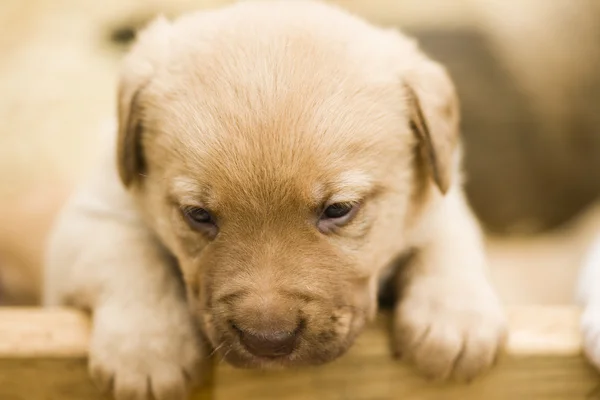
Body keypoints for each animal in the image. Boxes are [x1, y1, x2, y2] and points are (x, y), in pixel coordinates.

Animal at [43, 1, 506, 398]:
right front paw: (147, 351)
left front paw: (455, 321)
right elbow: (130, 256)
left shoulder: (440, 201)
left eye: (338, 210)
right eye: (198, 215)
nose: (268, 341)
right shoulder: (89, 219)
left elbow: (448, 246)